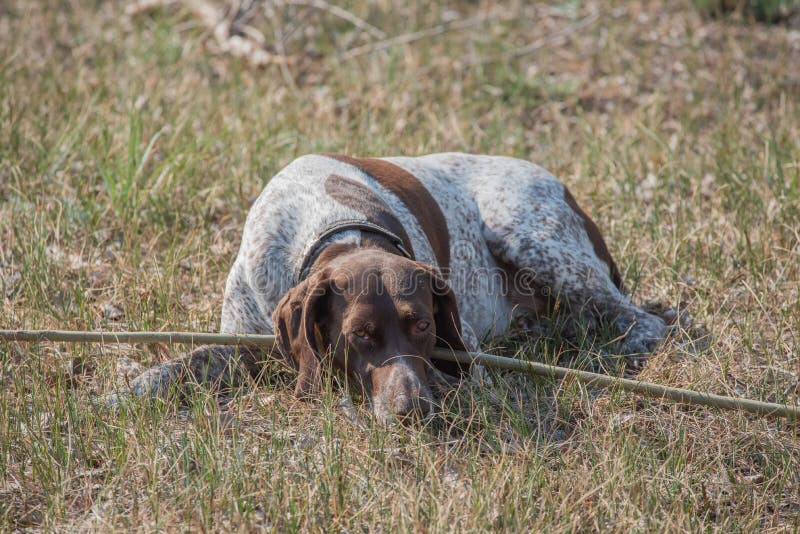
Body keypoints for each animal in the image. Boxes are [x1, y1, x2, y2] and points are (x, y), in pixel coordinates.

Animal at [120, 154, 668, 422]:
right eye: (360, 334)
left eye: (422, 325)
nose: (412, 411)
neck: (334, 224)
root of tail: (563, 188)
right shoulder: (243, 341)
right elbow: (182, 363)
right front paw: (132, 389)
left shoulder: (461, 356)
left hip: (530, 236)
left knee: (642, 319)